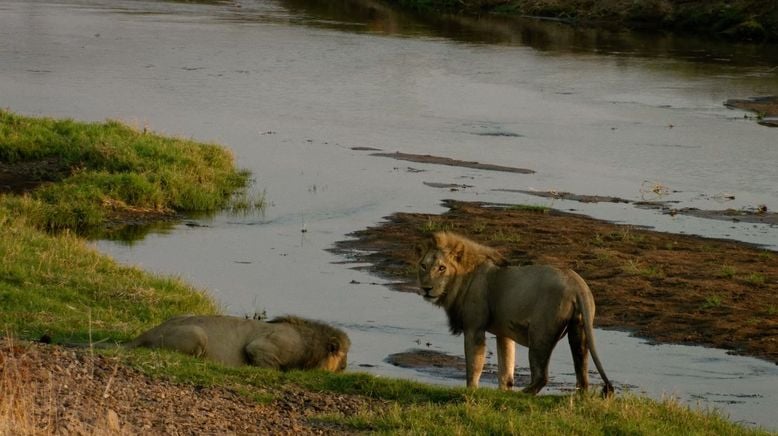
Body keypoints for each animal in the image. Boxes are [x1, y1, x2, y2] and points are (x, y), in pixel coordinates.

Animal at [416, 232, 608, 396]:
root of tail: (577, 284)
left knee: (542, 376)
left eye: (442, 268)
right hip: (579, 331)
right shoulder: (504, 333)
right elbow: (506, 366)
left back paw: (523, 394)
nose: (426, 288)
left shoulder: (474, 328)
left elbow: (474, 364)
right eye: (424, 266)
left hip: (540, 335)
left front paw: (471, 391)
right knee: (582, 374)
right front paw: (504, 392)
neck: (463, 278)